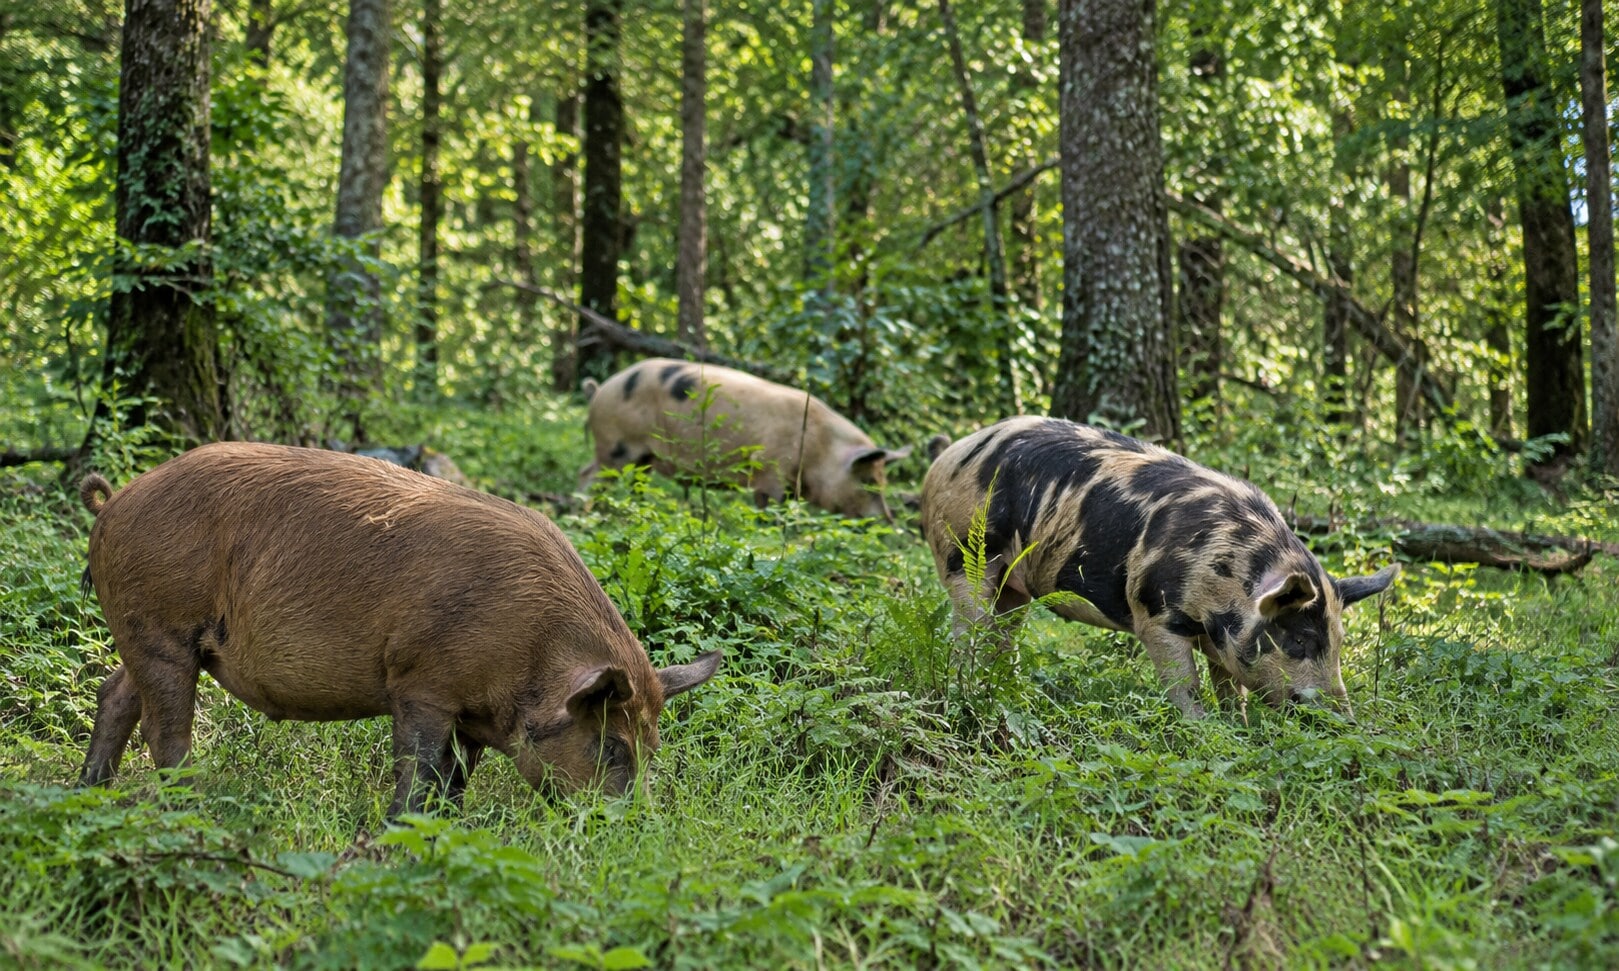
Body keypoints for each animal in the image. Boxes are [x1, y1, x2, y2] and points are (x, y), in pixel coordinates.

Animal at [76, 442, 720, 815]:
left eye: (652, 747)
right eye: (611, 745)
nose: (636, 825)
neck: (532, 650)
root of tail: (114, 502)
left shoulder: (470, 715)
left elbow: (456, 780)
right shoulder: (421, 684)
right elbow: (422, 768)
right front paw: (400, 829)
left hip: (144, 637)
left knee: (114, 694)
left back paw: (87, 791)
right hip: (161, 628)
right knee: (166, 731)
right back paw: (189, 808)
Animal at [578, 358, 912, 521]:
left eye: (882, 481)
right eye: (867, 482)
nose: (888, 521)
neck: (820, 449)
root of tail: (599, 389)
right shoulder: (768, 471)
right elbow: (769, 509)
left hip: (643, 458)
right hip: (615, 447)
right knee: (589, 475)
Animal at [919, 417, 1398, 718]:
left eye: (1338, 641)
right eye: (1299, 638)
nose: (1346, 720)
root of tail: (949, 454)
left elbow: (1232, 687)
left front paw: (1238, 726)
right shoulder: (1154, 612)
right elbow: (1183, 683)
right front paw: (1200, 728)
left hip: (1014, 586)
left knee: (1002, 634)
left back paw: (1007, 688)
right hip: (965, 554)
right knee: (968, 628)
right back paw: (967, 688)